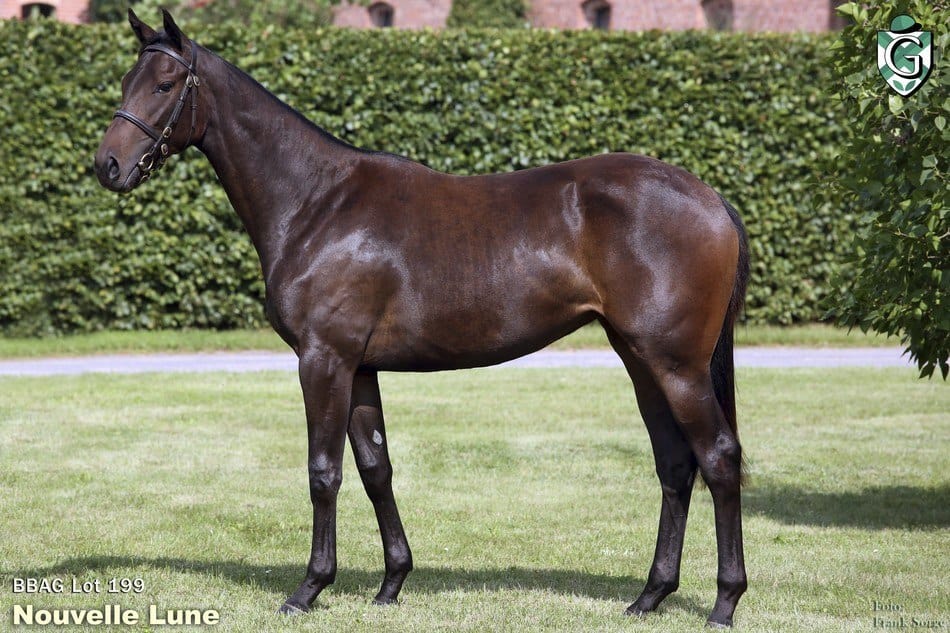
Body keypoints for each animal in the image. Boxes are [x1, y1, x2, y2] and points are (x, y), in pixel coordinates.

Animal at [96, 9, 752, 628]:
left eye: (164, 84)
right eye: (126, 80)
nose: (108, 165)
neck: (317, 203)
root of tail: (710, 198)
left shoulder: (323, 360)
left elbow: (323, 472)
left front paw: (309, 590)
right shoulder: (358, 367)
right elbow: (375, 467)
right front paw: (391, 584)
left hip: (677, 365)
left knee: (719, 458)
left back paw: (724, 602)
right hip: (641, 360)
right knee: (675, 464)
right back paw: (650, 596)